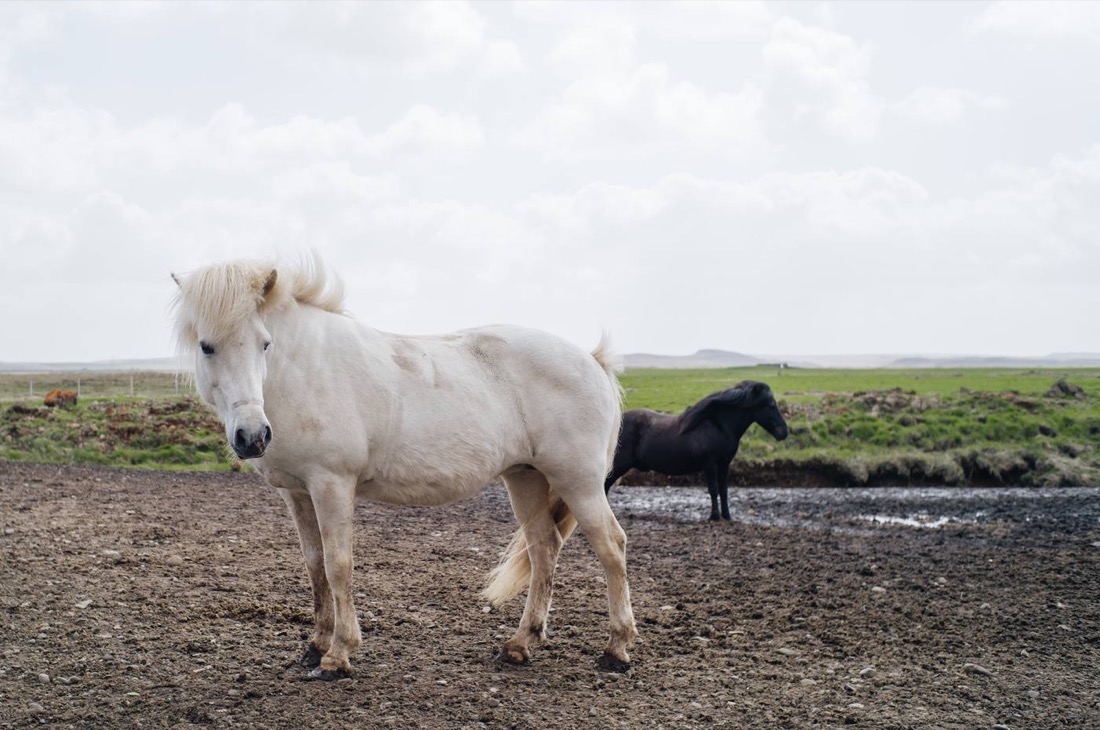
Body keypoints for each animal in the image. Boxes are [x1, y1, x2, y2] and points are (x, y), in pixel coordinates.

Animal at [170, 255, 636, 679]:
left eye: (264, 343)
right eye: (206, 345)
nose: (252, 436)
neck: (302, 370)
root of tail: (593, 360)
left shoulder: (331, 484)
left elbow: (338, 565)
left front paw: (338, 654)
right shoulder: (297, 492)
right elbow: (315, 564)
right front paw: (315, 645)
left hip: (578, 482)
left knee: (611, 547)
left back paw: (616, 649)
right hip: (526, 479)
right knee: (543, 549)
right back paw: (521, 644)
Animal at [604, 381, 789, 521]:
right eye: (771, 405)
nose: (784, 432)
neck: (719, 426)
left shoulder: (724, 464)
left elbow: (724, 489)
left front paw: (727, 516)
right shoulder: (710, 464)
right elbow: (713, 489)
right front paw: (714, 516)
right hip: (618, 466)